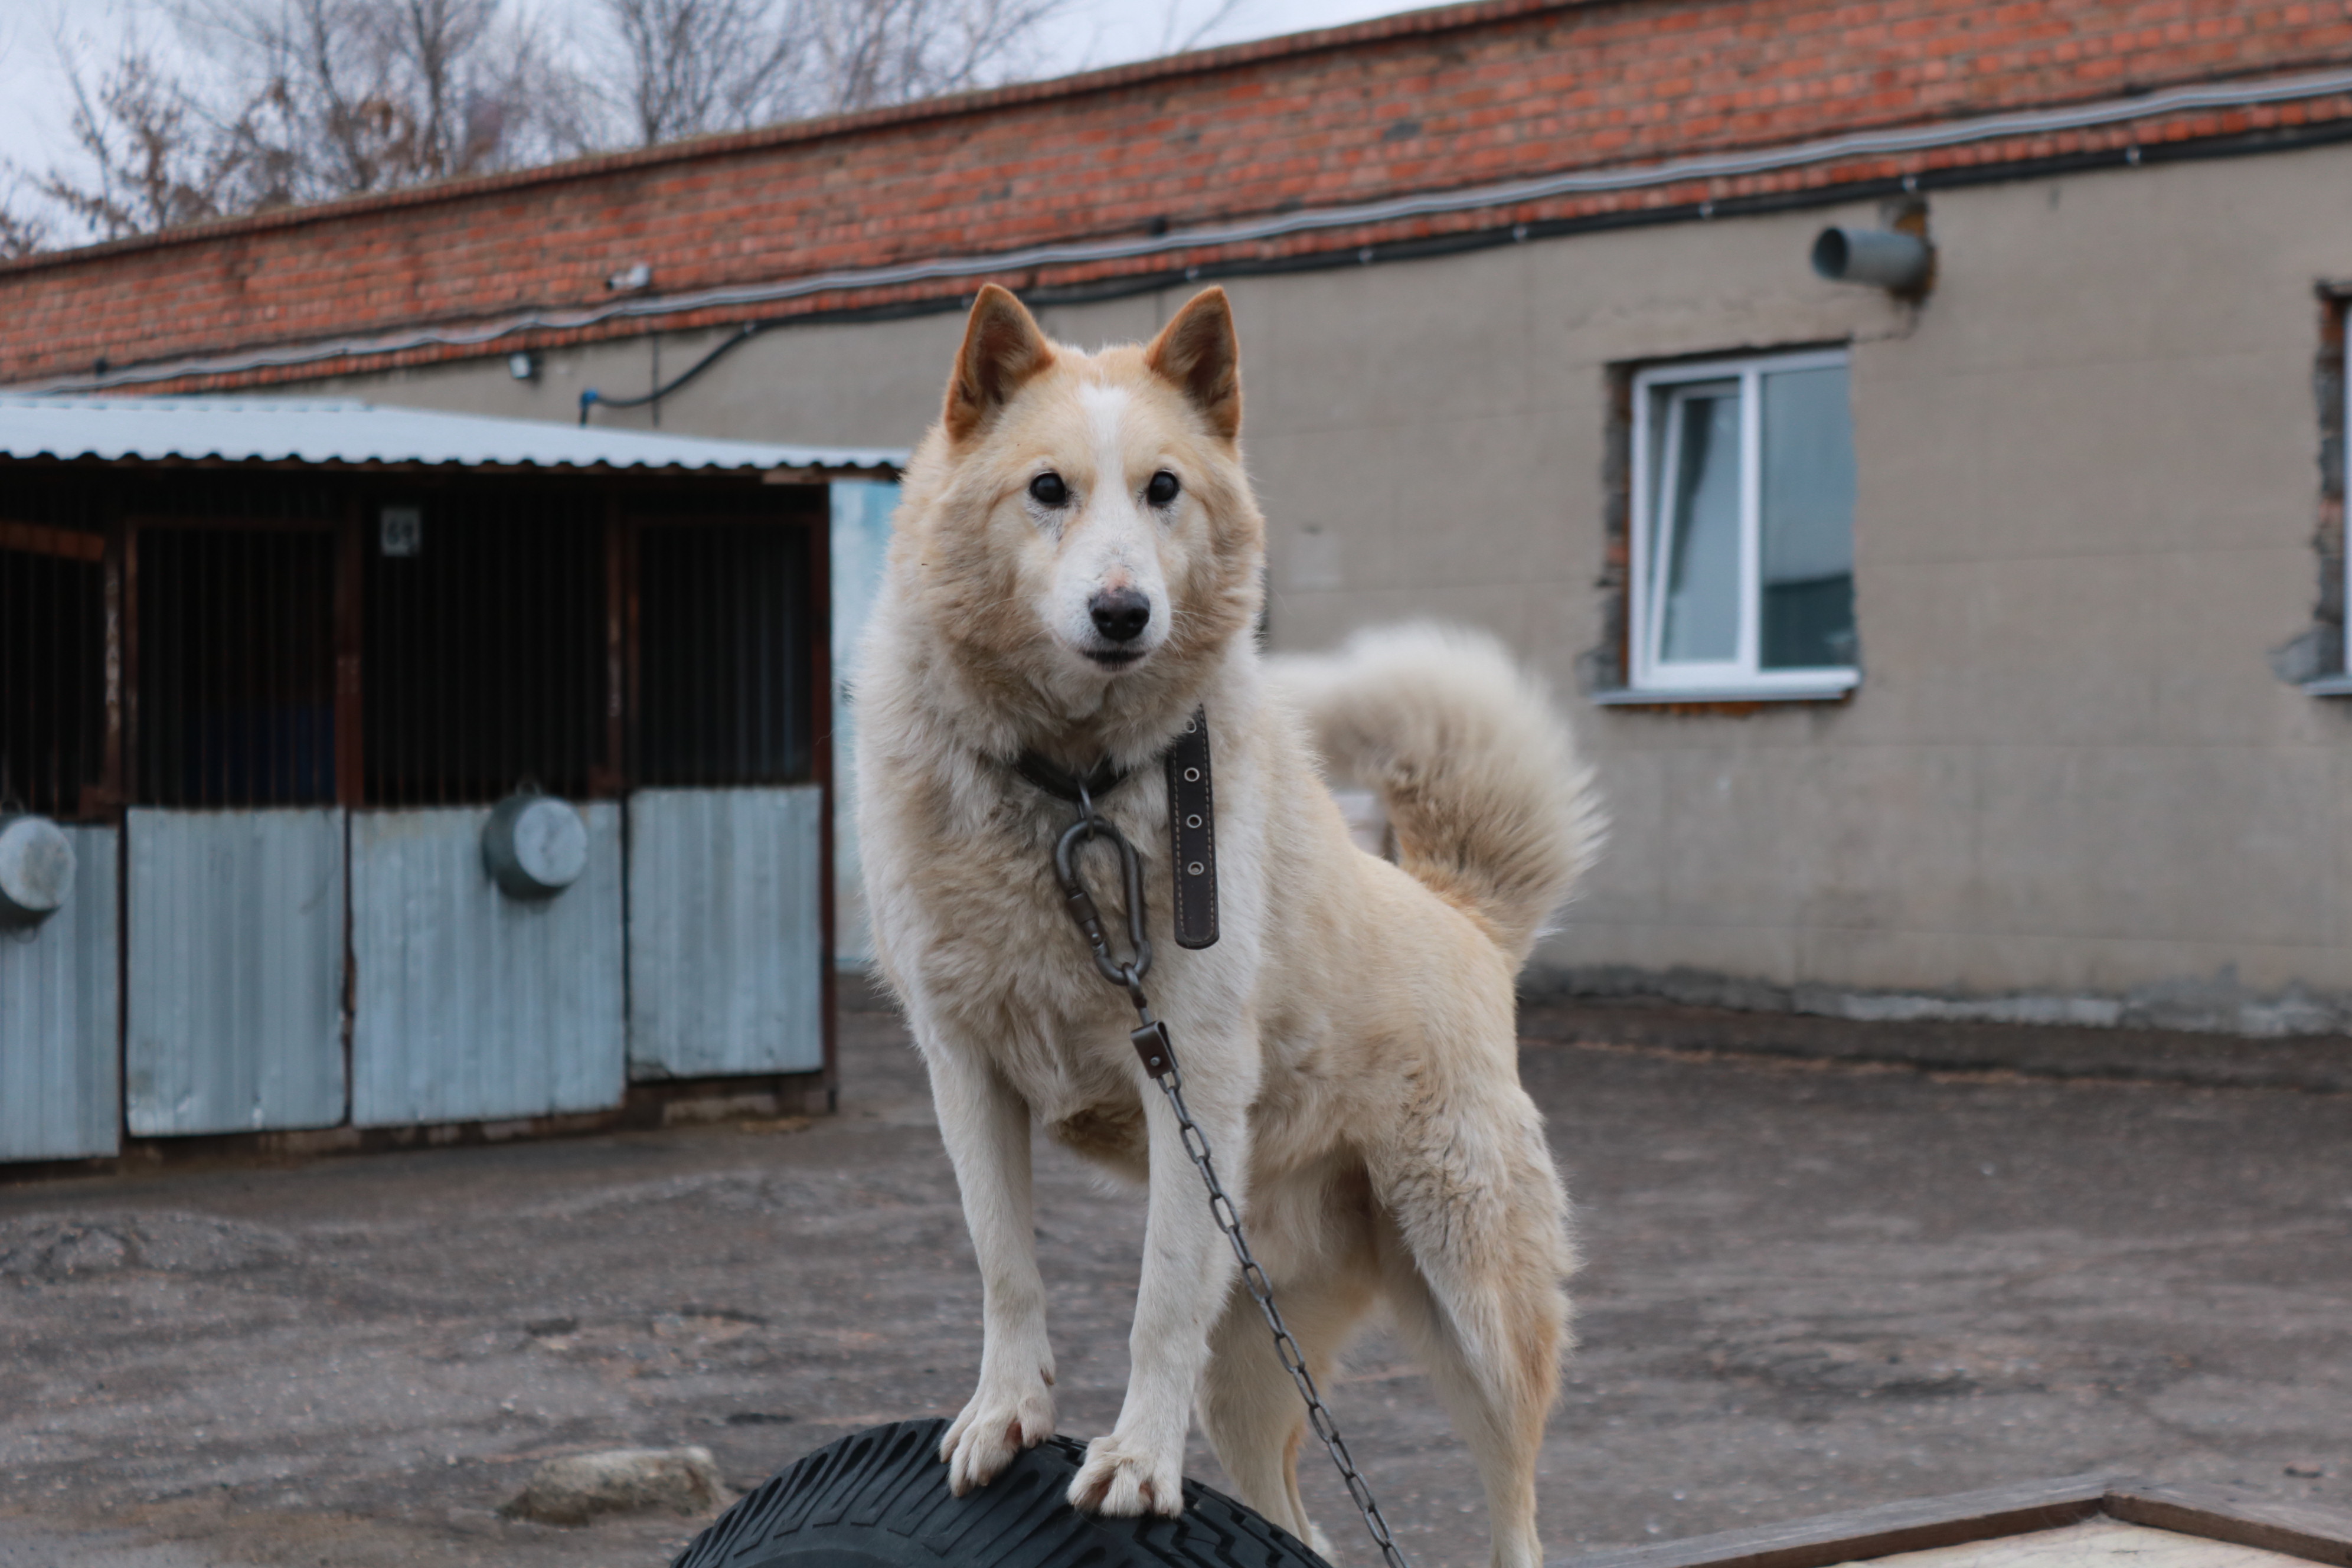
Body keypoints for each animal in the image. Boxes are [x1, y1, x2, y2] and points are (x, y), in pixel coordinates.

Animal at [856, 285, 1609, 1568]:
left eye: (1164, 488)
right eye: (1047, 488)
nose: (1122, 612)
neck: (1071, 791)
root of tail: (1462, 917)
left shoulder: (1189, 1077)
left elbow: (1156, 1294)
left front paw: (1137, 1463)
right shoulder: (963, 1068)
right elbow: (1005, 1263)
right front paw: (1003, 1414)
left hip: (1476, 1317)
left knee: (1517, 1512)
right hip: (1256, 1354)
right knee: (1305, 1528)